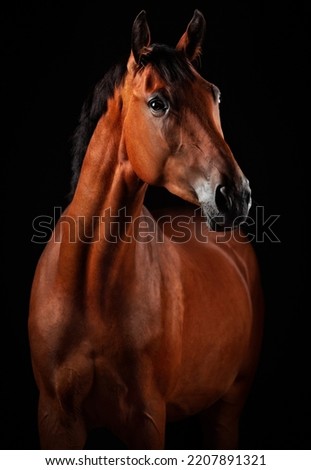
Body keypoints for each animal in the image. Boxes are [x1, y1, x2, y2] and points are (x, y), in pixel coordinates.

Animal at [28, 9, 264, 450]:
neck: (88, 286)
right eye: (158, 103)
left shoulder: (147, 422)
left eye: (215, 96)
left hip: (227, 409)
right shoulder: (57, 420)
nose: (235, 196)